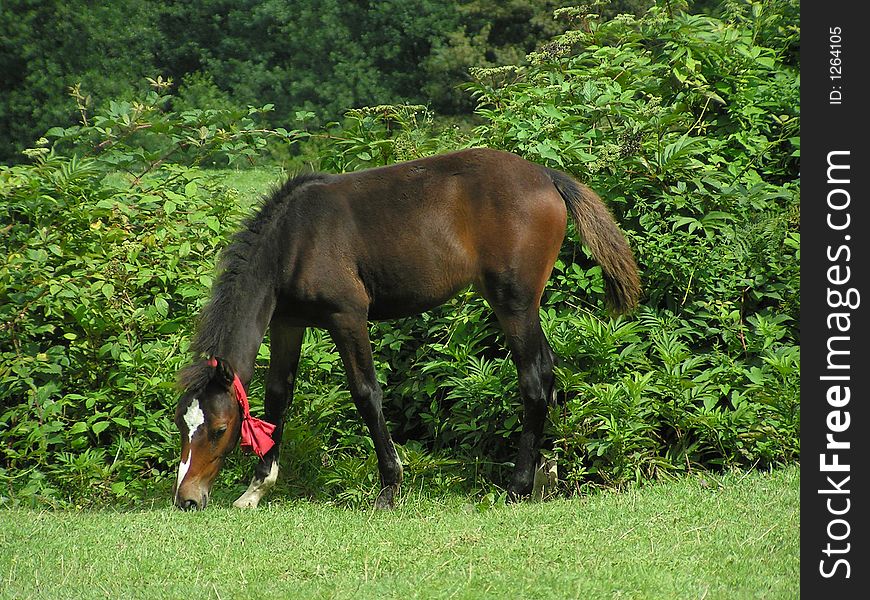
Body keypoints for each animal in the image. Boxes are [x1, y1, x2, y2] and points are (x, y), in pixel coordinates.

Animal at [175, 148, 640, 508]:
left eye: (218, 430)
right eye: (182, 423)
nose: (187, 500)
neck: (294, 240)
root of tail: (547, 177)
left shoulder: (348, 317)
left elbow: (366, 394)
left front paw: (390, 487)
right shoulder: (288, 323)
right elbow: (277, 398)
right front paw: (255, 491)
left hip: (514, 303)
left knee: (533, 378)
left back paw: (518, 486)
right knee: (548, 370)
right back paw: (549, 475)